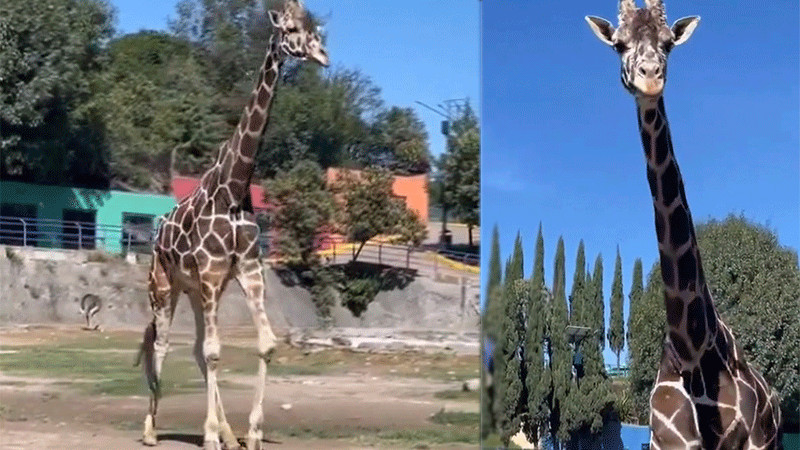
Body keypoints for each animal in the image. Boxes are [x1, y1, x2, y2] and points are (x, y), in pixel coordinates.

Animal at [137, 2, 328, 449]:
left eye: (313, 28)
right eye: (290, 30)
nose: (322, 56)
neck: (237, 185)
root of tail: (154, 238)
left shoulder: (247, 270)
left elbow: (264, 343)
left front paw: (251, 432)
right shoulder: (210, 273)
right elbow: (213, 351)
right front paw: (209, 435)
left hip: (197, 291)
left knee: (193, 348)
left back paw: (226, 431)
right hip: (165, 288)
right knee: (163, 345)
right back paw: (151, 429)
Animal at [585, 1, 782, 448]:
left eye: (668, 44)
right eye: (619, 44)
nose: (650, 77)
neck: (692, 348)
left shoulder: (750, 440)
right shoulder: (667, 440)